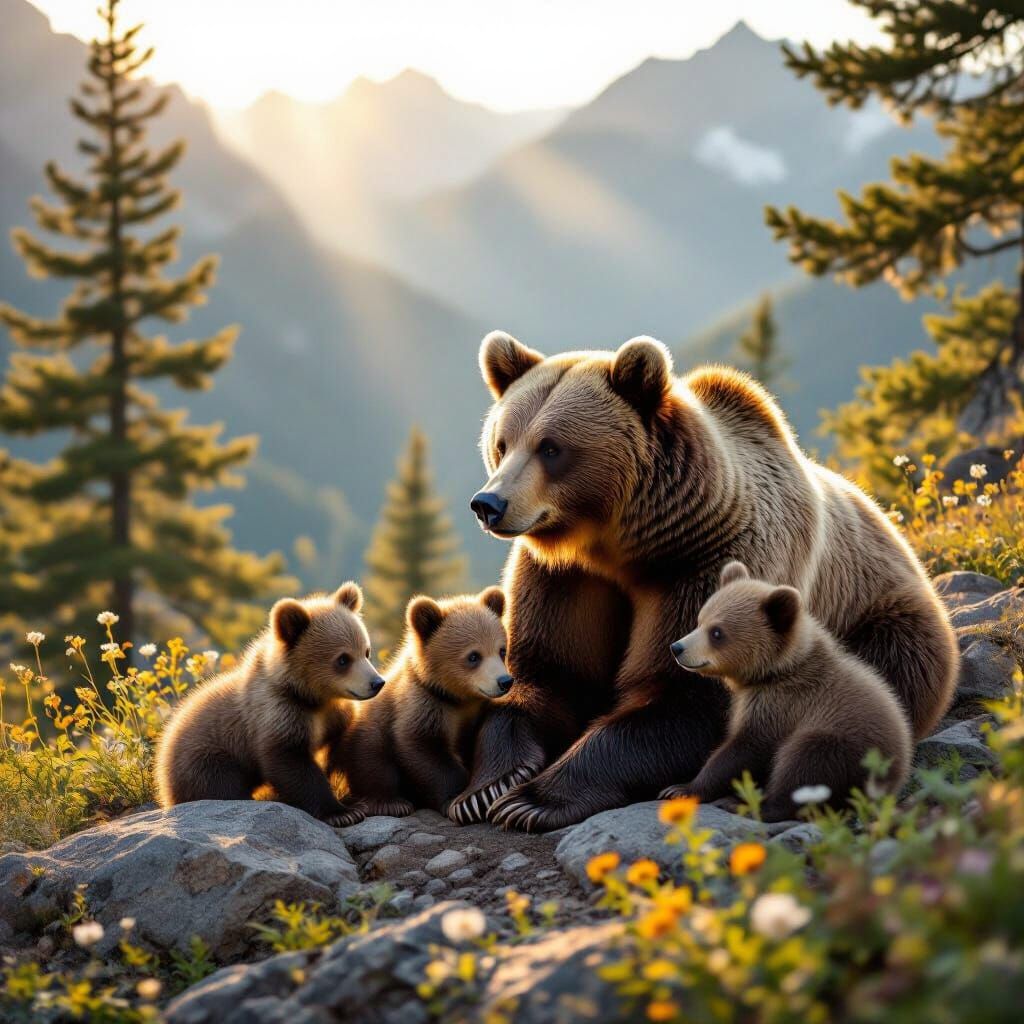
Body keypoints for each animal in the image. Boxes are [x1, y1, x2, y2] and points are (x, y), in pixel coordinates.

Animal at [155, 582, 385, 827]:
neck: (313, 697)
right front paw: (342, 812)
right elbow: (290, 763)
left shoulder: (334, 714)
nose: (377, 683)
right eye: (342, 659)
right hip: (206, 758)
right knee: (220, 787)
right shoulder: (278, 712)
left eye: (366, 651)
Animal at [343, 587, 514, 819]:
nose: (504, 681)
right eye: (473, 656)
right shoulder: (423, 704)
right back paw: (391, 803)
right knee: (372, 759)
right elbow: (423, 747)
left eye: (502, 650)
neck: (456, 698)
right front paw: (456, 796)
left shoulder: (473, 712)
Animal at [659, 560, 912, 821]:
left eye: (717, 632)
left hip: (840, 744)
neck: (775, 671)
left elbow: (745, 749)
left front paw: (681, 788)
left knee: (803, 769)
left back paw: (744, 804)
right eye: (700, 619)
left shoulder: (781, 704)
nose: (677, 648)